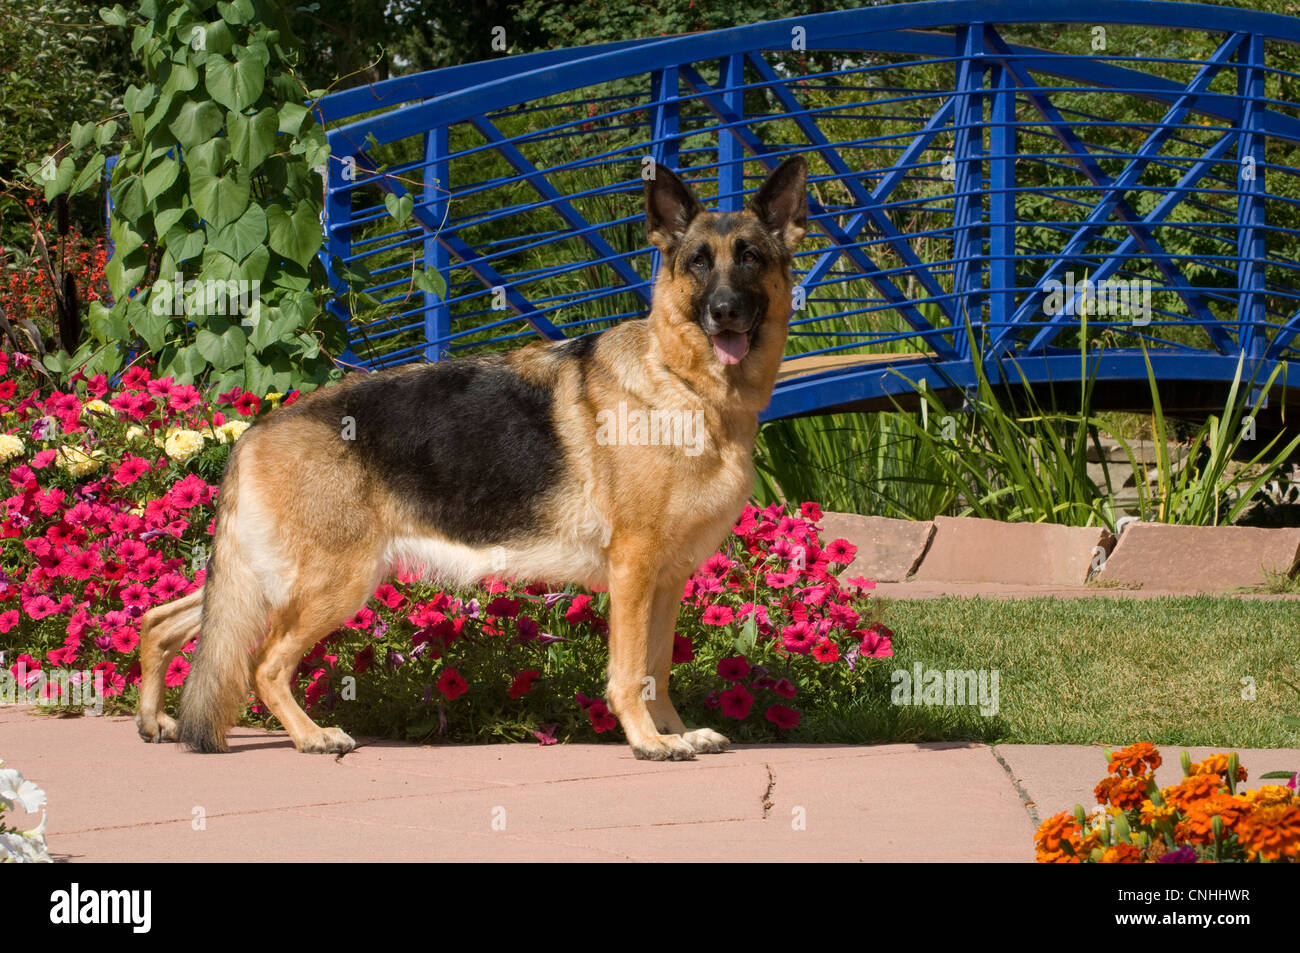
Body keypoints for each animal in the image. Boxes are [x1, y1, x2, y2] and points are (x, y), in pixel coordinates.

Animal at [131, 159, 800, 764]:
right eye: (698, 263)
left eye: (749, 258)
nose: (724, 311)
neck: (686, 385)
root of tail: (256, 430)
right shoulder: (634, 571)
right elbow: (630, 670)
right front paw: (647, 740)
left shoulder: (666, 579)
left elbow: (658, 667)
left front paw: (676, 731)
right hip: (330, 584)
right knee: (265, 666)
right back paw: (312, 736)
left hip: (261, 583)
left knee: (163, 621)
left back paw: (156, 721)